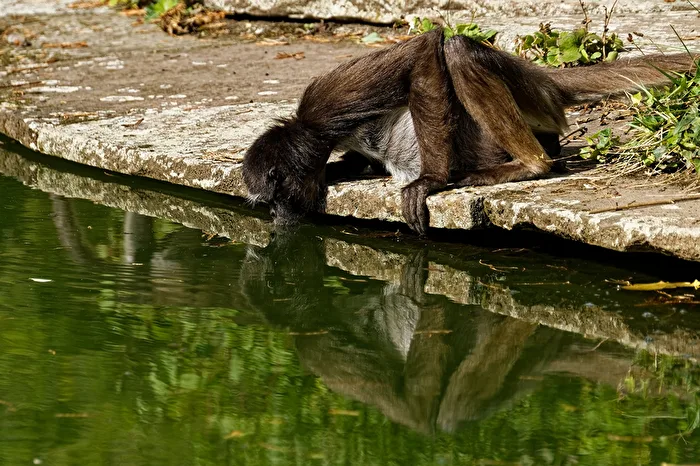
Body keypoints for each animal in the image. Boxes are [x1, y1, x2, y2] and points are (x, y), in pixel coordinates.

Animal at [243, 28, 697, 235]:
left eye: (277, 197)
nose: (275, 215)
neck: (311, 131)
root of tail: (544, 79)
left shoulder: (326, 102)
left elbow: (424, 50)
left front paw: (429, 180)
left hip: (534, 100)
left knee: (457, 48)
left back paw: (531, 165)